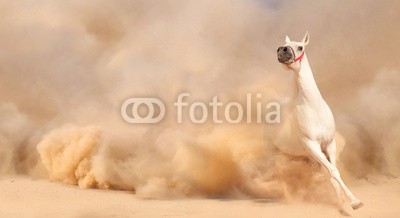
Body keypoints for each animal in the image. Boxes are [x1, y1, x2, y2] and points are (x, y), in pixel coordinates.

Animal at [268, 31, 364, 210]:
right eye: (285, 45)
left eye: (300, 47)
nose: (281, 51)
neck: (313, 108)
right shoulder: (312, 145)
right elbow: (333, 172)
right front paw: (354, 202)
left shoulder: (329, 145)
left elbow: (333, 172)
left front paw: (343, 203)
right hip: (274, 150)